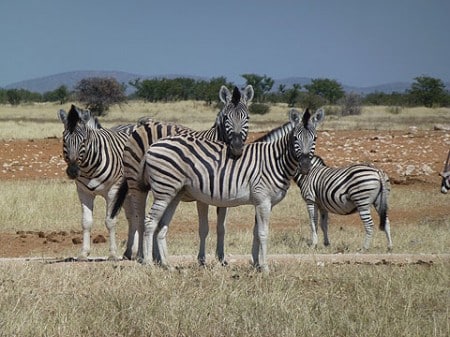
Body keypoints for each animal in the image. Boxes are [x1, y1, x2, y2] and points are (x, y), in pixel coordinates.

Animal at [57, 103, 136, 258]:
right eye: (64, 140)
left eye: (83, 141)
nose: (72, 171)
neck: (89, 168)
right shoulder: (83, 192)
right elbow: (86, 222)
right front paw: (83, 253)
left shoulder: (113, 190)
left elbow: (110, 221)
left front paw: (113, 253)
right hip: (126, 195)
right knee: (132, 217)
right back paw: (130, 252)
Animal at [110, 84, 253, 262]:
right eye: (226, 117)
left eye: (247, 118)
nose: (237, 148)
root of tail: (142, 125)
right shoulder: (203, 195)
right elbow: (204, 227)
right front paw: (201, 259)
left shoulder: (224, 195)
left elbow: (221, 227)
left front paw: (221, 258)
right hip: (137, 183)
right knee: (140, 218)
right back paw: (142, 256)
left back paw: (156, 257)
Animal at [141, 107, 324, 270]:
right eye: (295, 138)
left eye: (315, 138)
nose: (305, 166)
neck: (273, 161)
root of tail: (154, 144)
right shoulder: (263, 201)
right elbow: (263, 233)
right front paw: (265, 267)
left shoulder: (261, 202)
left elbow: (256, 232)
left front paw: (256, 263)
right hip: (164, 191)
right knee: (150, 222)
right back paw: (149, 263)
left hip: (175, 193)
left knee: (161, 225)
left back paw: (167, 265)